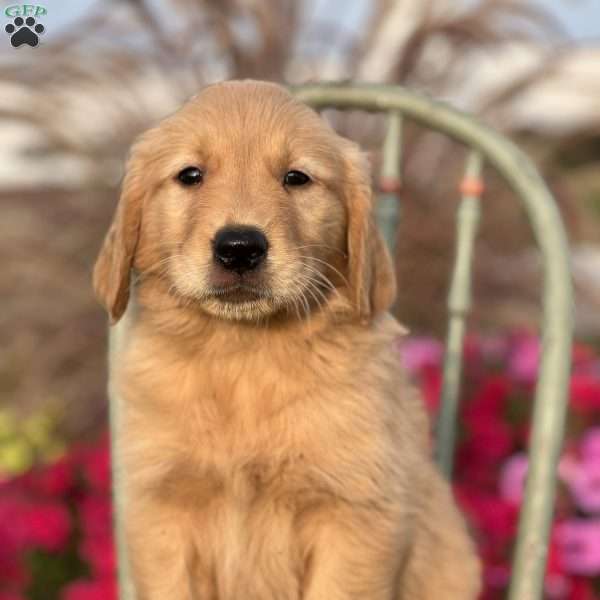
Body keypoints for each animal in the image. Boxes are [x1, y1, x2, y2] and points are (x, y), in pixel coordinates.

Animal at [94, 81, 480, 600]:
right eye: (190, 175)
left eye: (296, 178)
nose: (239, 247)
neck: (244, 355)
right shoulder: (161, 511)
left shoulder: (357, 514)